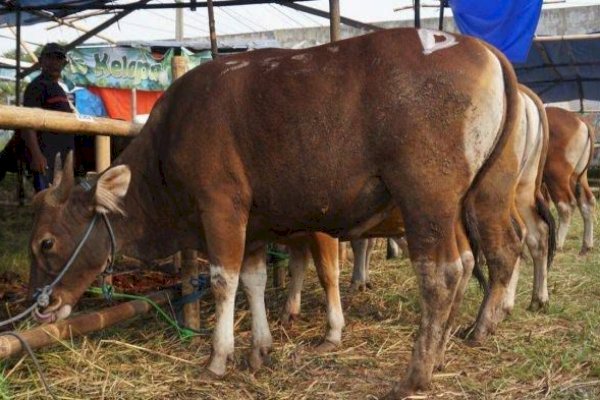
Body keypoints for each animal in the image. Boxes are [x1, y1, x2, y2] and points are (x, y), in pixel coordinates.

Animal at [25, 28, 524, 396]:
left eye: (45, 243)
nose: (40, 305)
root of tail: (481, 48)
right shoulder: (255, 224)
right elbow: (255, 280)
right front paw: (258, 349)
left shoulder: (222, 208)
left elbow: (224, 281)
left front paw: (218, 357)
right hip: (470, 201)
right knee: (475, 260)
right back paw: (447, 346)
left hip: (427, 198)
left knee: (444, 272)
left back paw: (417, 372)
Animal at [544, 108, 596, 255]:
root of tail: (580, 120)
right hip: (578, 177)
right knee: (587, 202)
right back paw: (586, 246)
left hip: (556, 177)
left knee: (566, 206)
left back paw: (557, 244)